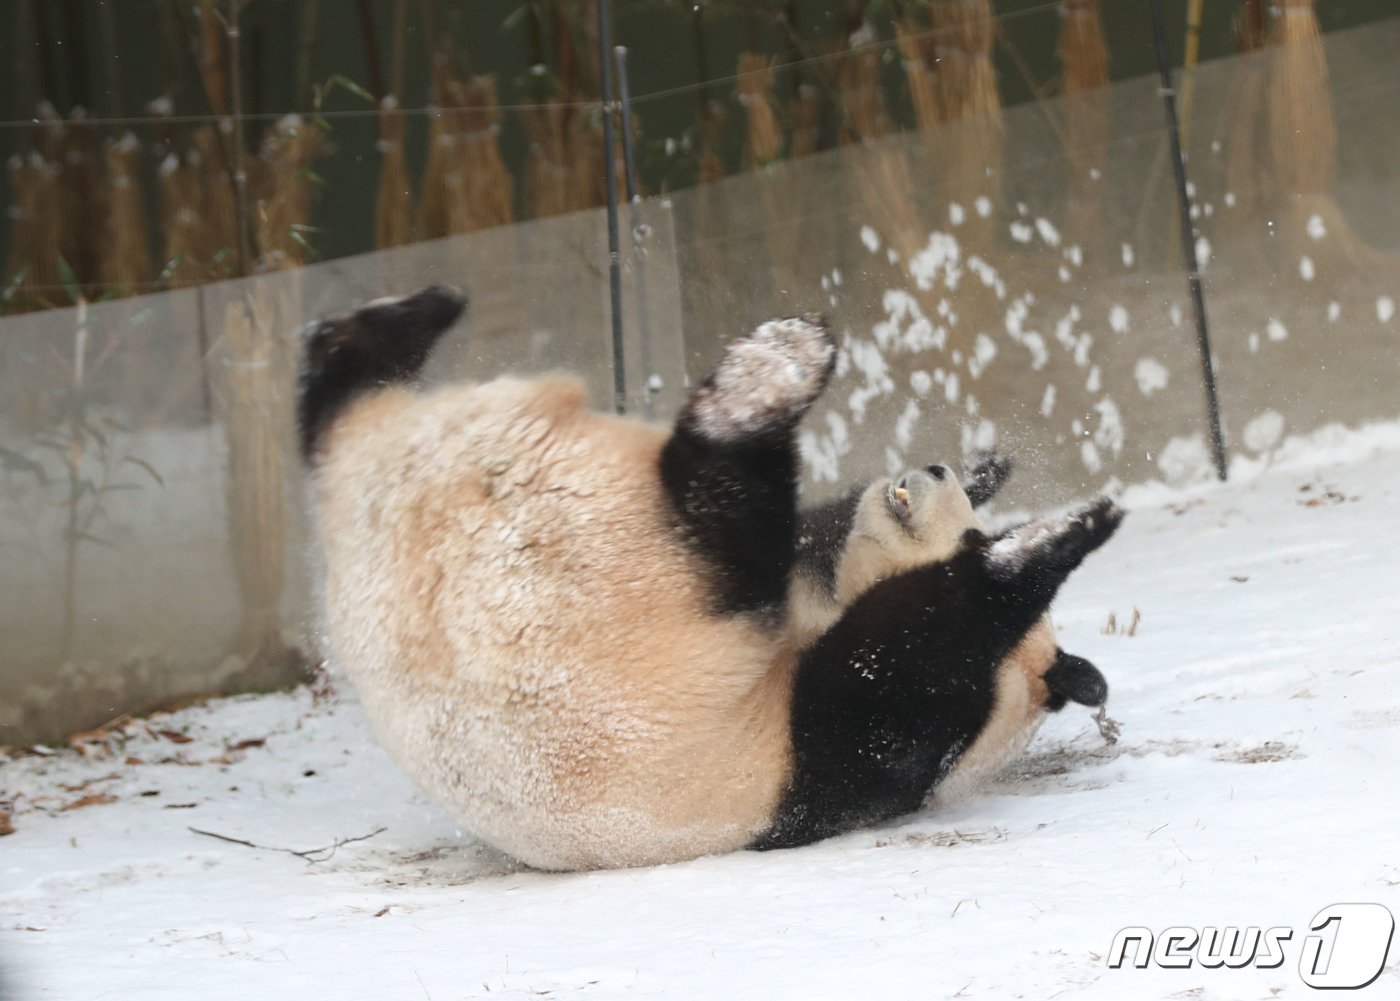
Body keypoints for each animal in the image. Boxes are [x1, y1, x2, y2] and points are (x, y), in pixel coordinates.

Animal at [301, 284, 1120, 868]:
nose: (938, 471)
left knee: (721, 499)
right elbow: (829, 533)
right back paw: (416, 312)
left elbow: (902, 654)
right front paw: (989, 472)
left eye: (972, 532)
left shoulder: (840, 754)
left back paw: (764, 383)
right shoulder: (815, 578)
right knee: (336, 399)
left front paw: (1047, 538)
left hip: (644, 592)